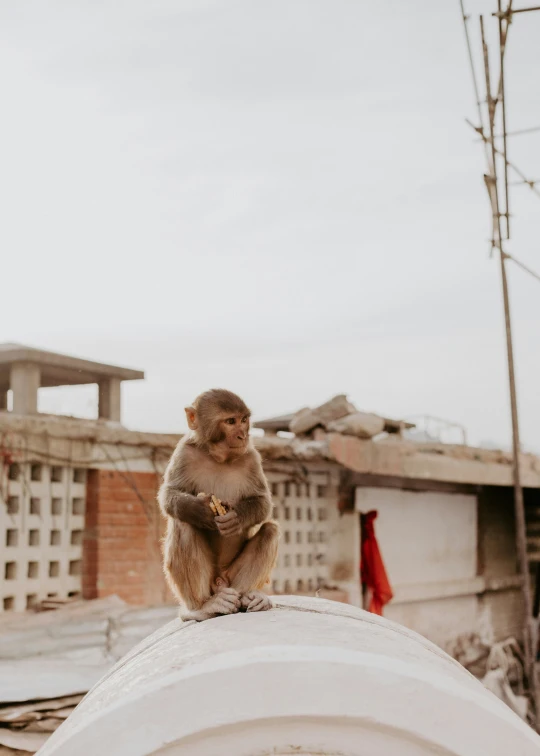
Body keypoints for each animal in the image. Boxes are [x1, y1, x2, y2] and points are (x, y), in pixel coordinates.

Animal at [156, 390, 280, 620]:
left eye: (244, 419)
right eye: (230, 421)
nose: (243, 435)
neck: (219, 457)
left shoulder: (250, 456)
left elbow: (263, 501)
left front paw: (237, 518)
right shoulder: (183, 452)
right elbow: (168, 495)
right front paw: (199, 511)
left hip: (231, 578)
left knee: (270, 531)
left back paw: (249, 598)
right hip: (209, 583)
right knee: (183, 523)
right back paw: (203, 607)